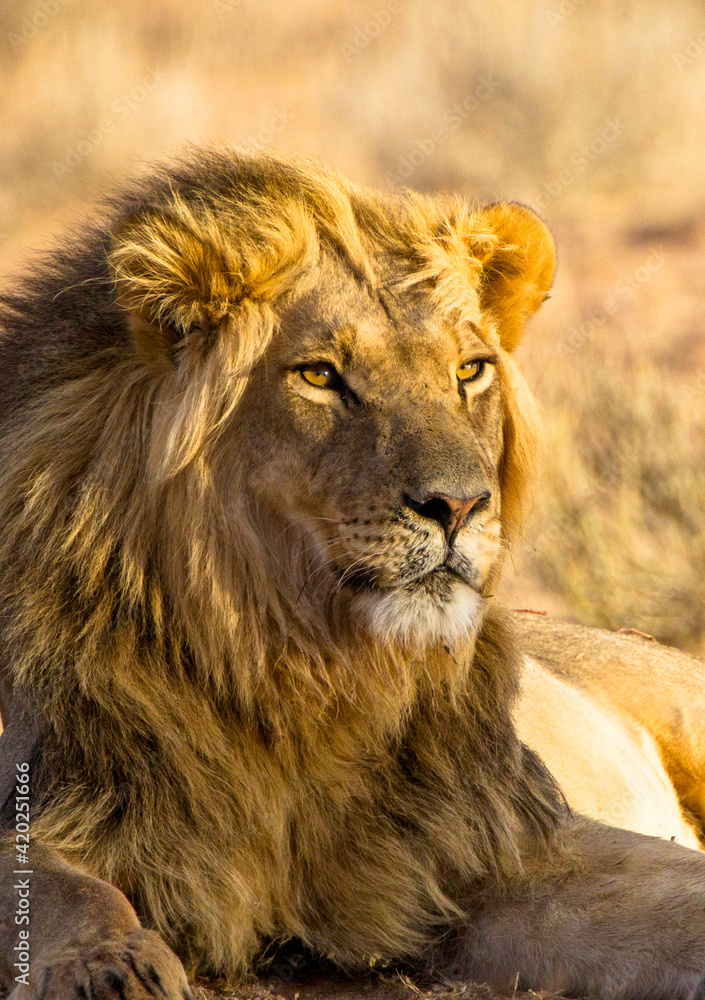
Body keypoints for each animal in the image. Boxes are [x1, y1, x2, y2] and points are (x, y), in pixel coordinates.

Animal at [0, 148, 704, 1000]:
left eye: (470, 369)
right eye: (319, 375)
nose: (459, 504)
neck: (302, 675)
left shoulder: (493, 841)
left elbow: (676, 902)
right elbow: (54, 881)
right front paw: (108, 966)